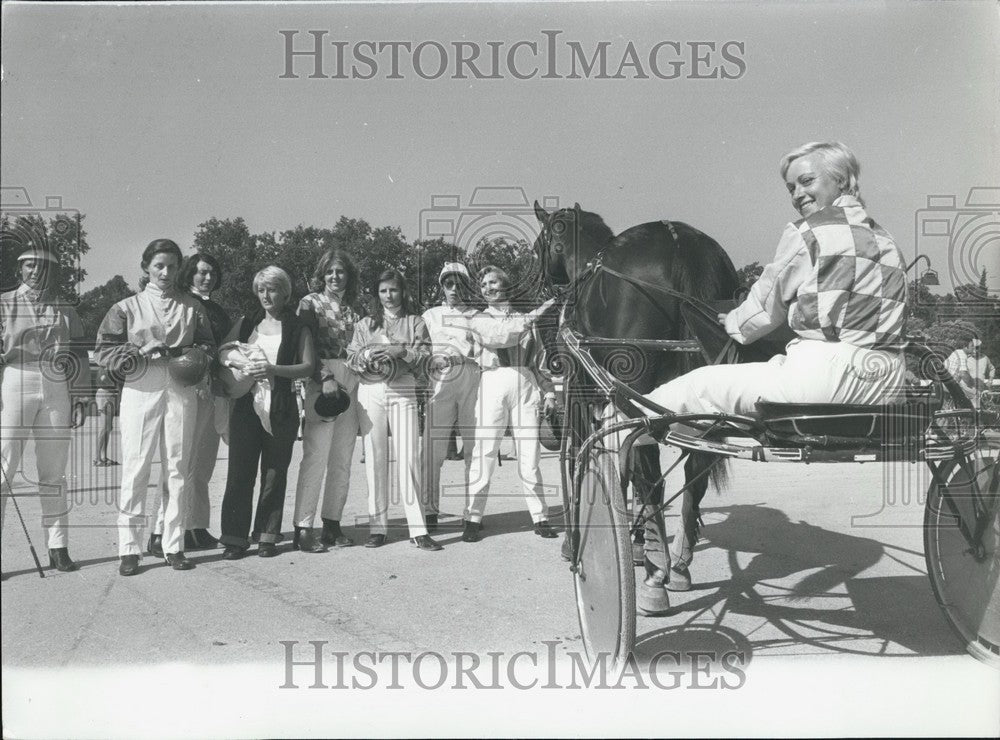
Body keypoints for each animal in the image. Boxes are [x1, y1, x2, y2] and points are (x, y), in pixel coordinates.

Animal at [536, 199, 740, 608]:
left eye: (538, 245)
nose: (539, 281)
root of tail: (680, 243)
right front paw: (638, 541)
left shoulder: (581, 393)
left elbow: (582, 456)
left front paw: (578, 540)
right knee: (693, 472)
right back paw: (677, 564)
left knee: (651, 473)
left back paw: (657, 576)